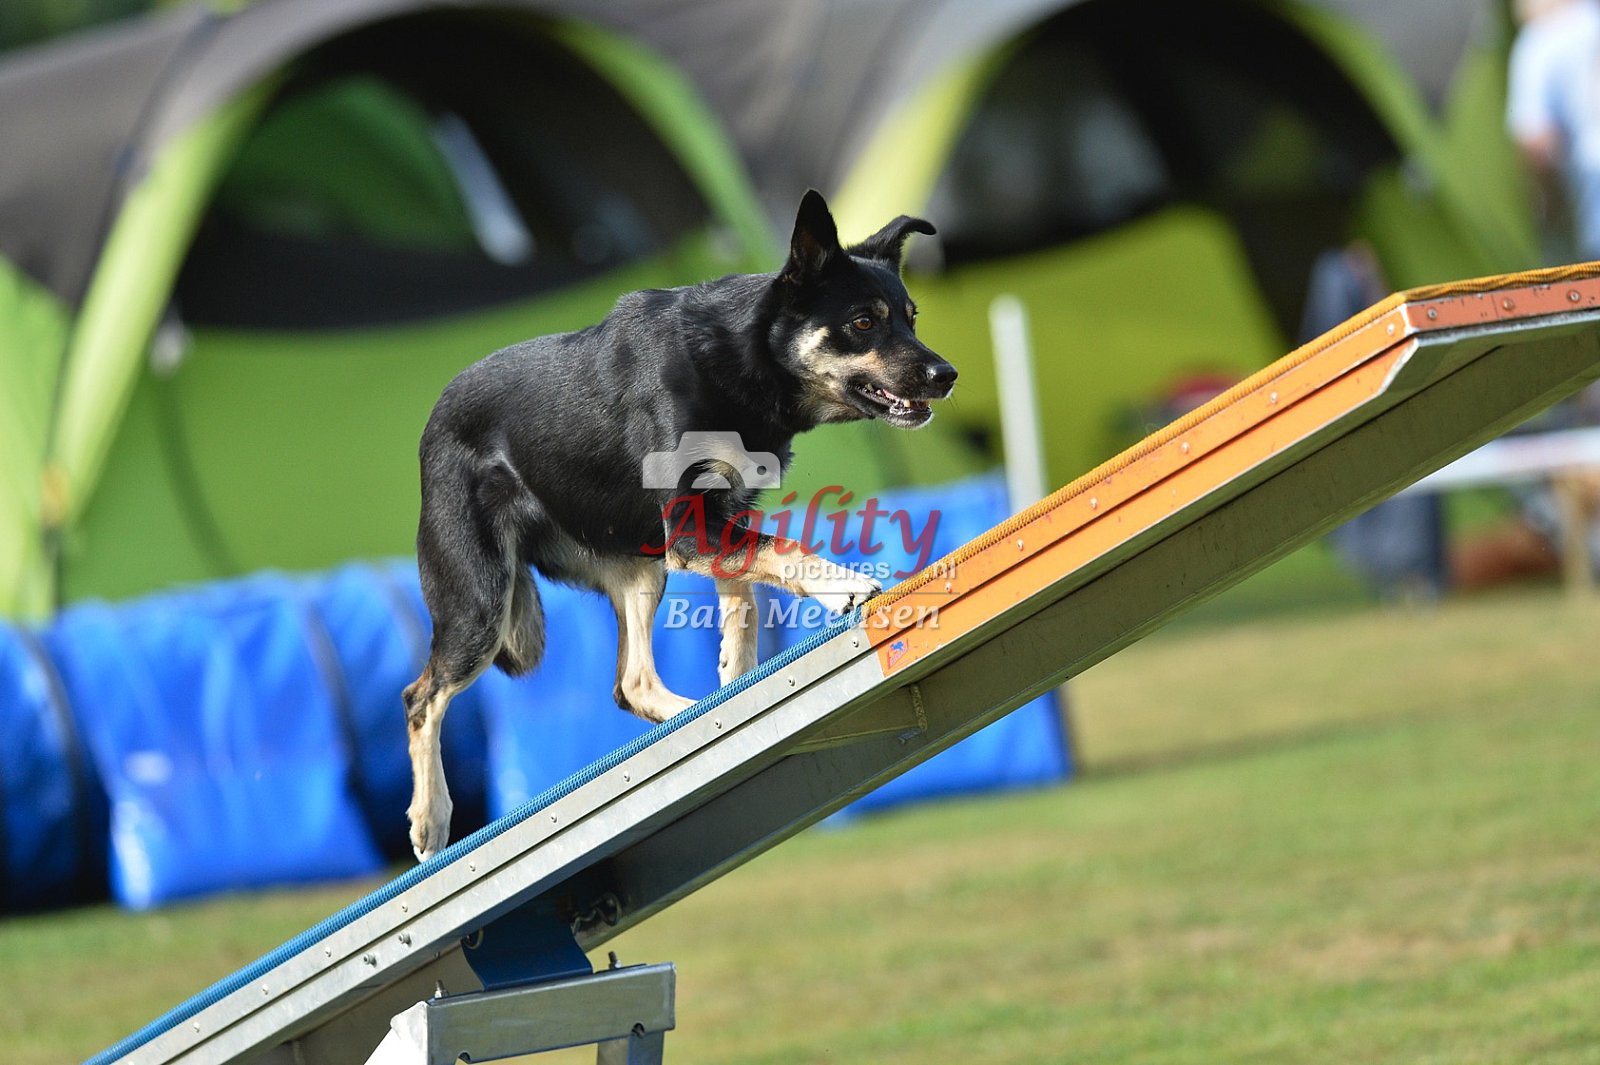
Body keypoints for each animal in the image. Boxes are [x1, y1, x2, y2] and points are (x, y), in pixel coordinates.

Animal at [402, 190, 957, 860]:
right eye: (864, 323)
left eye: (911, 318)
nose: (946, 375)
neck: (739, 360)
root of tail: (431, 427)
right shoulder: (695, 533)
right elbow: (783, 551)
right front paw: (842, 585)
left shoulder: (721, 518)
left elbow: (744, 604)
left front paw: (739, 683)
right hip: (480, 602)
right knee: (421, 697)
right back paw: (431, 820)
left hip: (641, 570)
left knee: (632, 683)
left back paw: (689, 720)